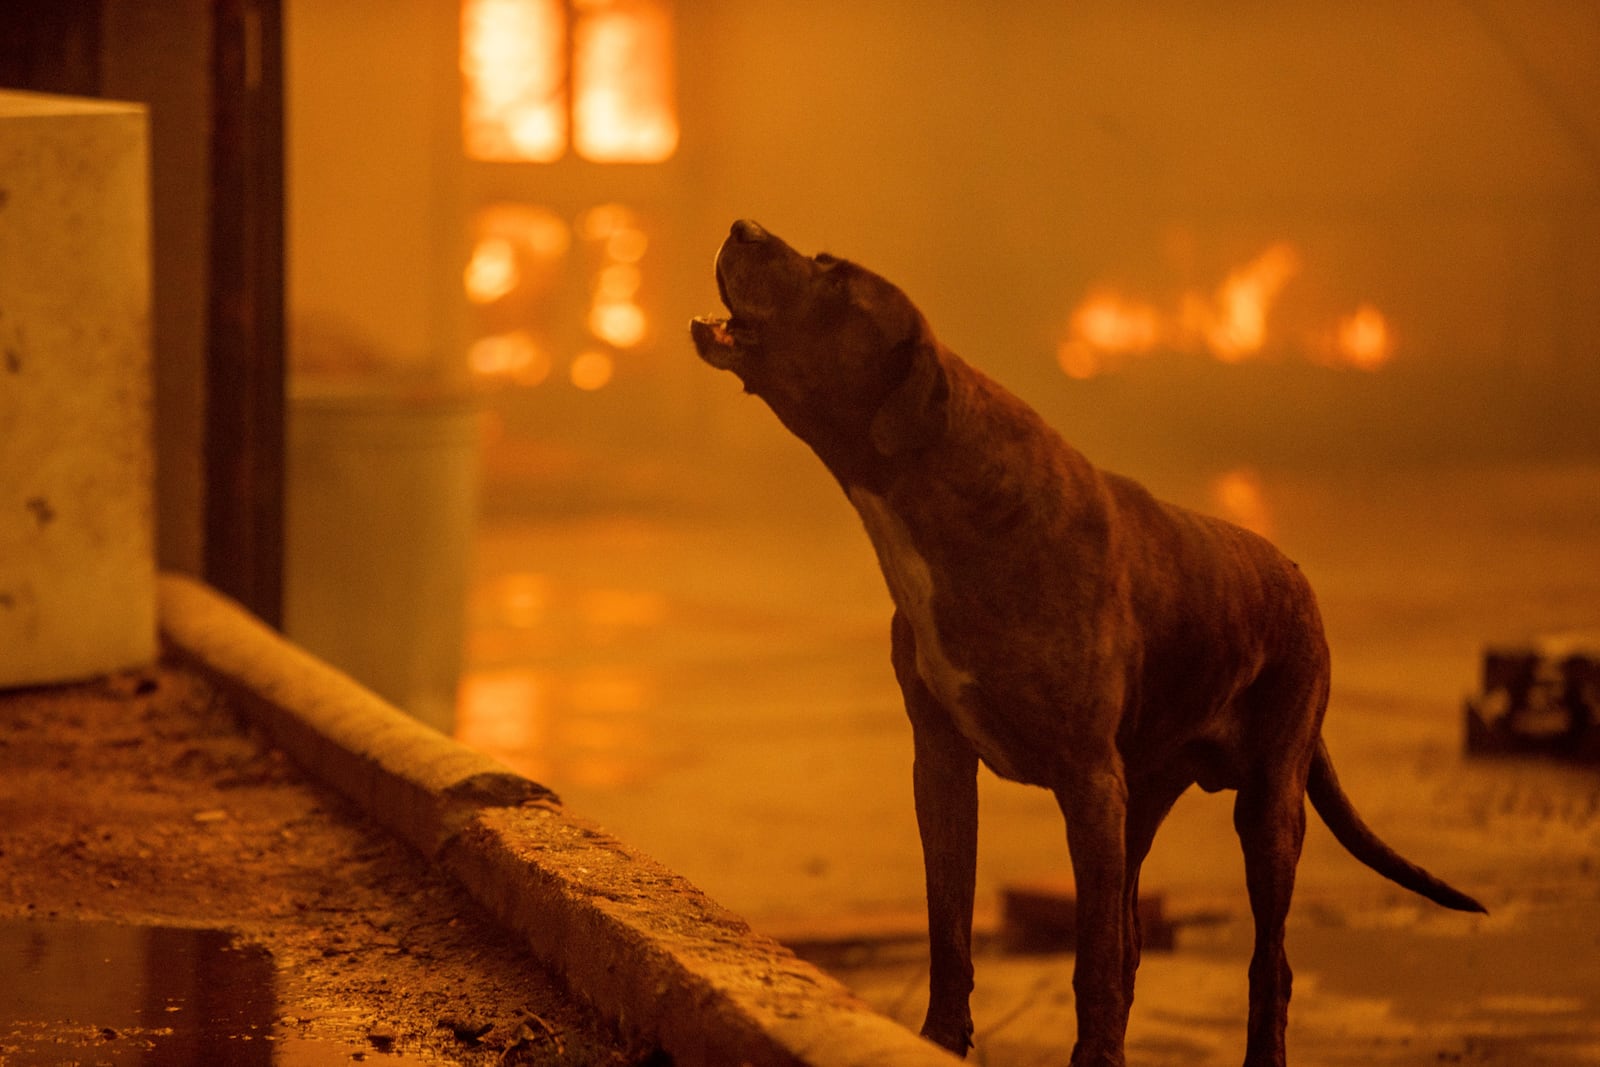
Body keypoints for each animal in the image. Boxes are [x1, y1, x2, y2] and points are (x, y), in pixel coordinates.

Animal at [688, 220, 1472, 1062]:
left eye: (835, 281)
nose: (742, 227)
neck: (937, 492)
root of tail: (1295, 575)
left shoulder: (1089, 783)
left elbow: (1090, 957)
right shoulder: (945, 764)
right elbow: (952, 923)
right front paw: (942, 1037)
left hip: (1268, 807)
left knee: (1268, 961)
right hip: (1146, 799)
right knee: (1132, 933)